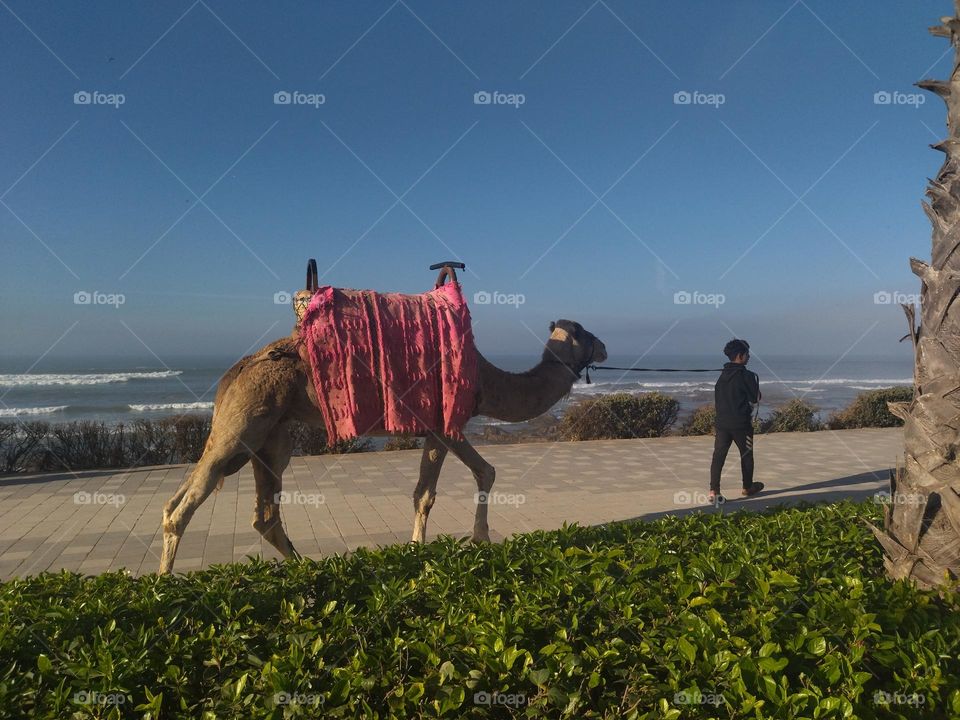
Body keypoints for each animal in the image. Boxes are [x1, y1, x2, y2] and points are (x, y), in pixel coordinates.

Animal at [158, 318, 608, 572]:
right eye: (584, 331)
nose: (604, 346)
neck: (486, 378)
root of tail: (233, 372)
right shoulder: (444, 423)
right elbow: (429, 492)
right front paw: (420, 549)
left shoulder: (442, 427)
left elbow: (483, 471)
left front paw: (477, 538)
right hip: (245, 423)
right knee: (187, 501)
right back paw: (164, 584)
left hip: (270, 436)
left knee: (255, 509)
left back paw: (305, 569)